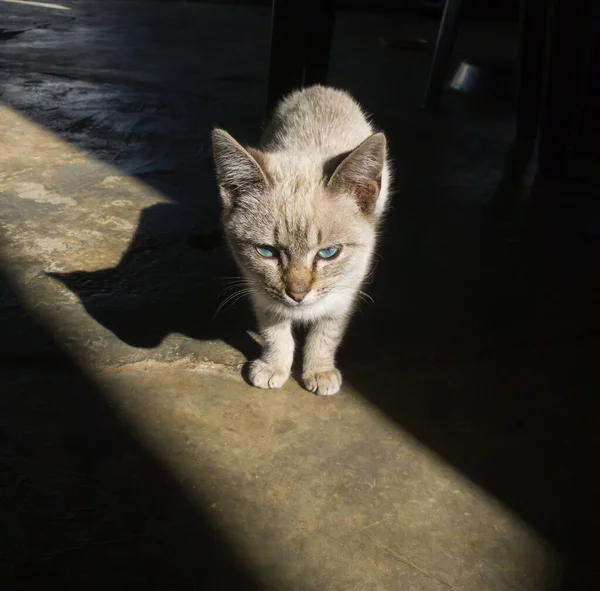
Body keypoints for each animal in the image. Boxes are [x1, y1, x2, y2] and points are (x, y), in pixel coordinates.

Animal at [211, 84, 390, 398]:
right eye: (266, 251)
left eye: (328, 253)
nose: (297, 294)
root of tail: (320, 87)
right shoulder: (259, 287)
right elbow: (274, 332)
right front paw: (275, 367)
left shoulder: (345, 289)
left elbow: (326, 334)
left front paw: (318, 372)